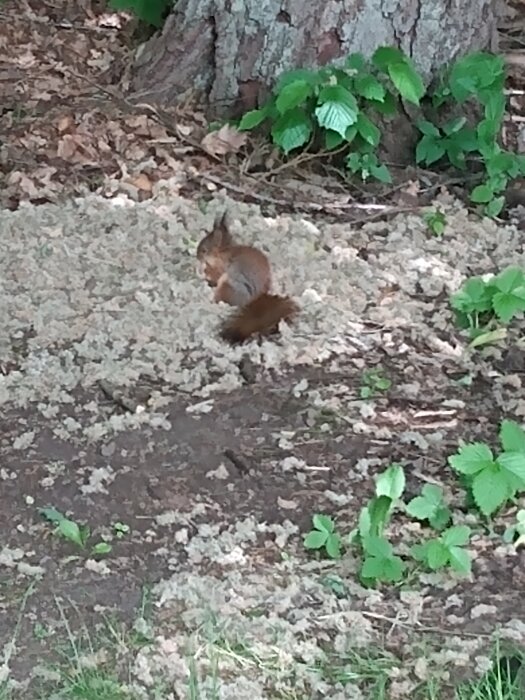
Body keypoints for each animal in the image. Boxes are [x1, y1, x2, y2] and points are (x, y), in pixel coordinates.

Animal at [195, 213, 298, 344]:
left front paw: (204, 271)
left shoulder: (222, 267)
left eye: (204, 250)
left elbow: (215, 274)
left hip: (228, 286)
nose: (197, 256)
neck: (223, 252)